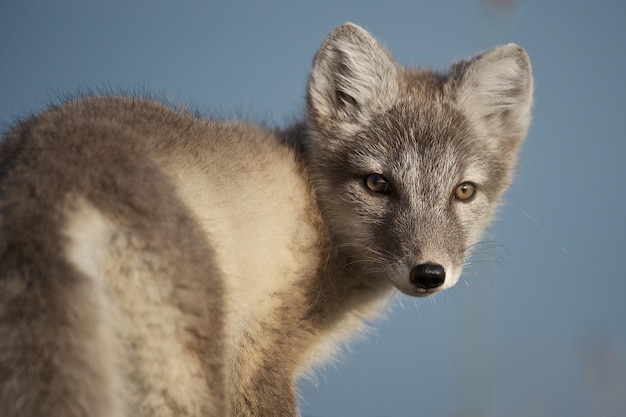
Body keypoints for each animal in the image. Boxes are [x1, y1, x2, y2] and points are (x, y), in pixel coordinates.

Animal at [0, 23, 528, 416]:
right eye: (378, 183)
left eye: (464, 191)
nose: (429, 274)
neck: (313, 206)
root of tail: (51, 175)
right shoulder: (258, 361)